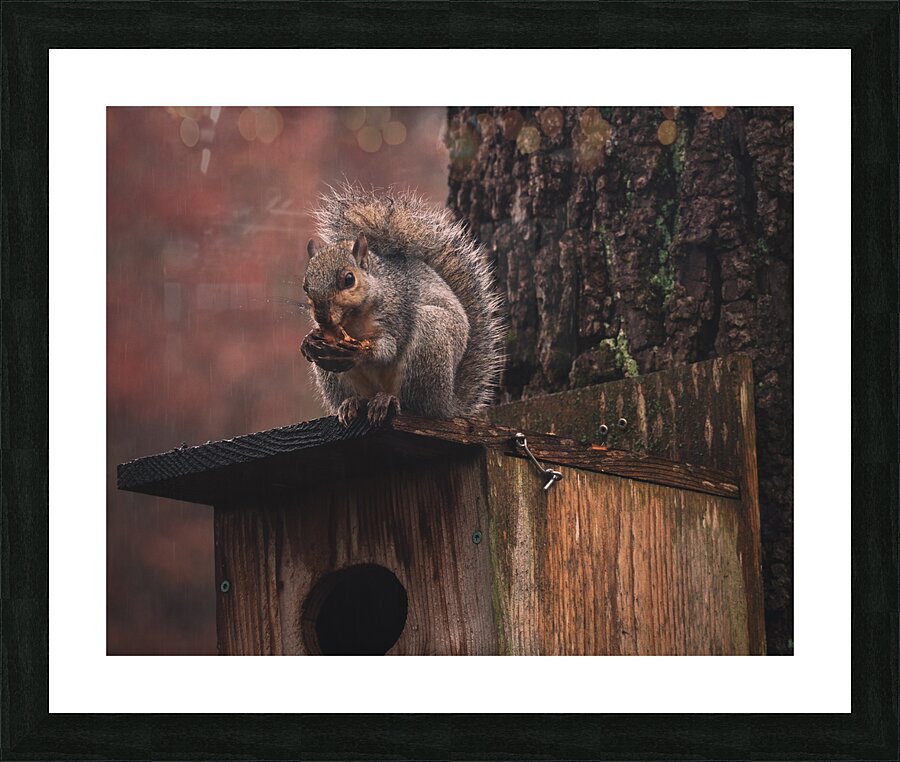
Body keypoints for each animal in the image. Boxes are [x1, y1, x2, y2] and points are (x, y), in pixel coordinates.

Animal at [300, 184, 505, 427]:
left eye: (349, 279)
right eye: (305, 286)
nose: (322, 316)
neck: (354, 319)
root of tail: (447, 403)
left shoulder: (397, 312)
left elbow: (388, 348)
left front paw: (361, 353)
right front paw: (309, 341)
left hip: (430, 342)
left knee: (414, 403)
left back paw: (388, 401)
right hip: (335, 379)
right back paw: (352, 403)